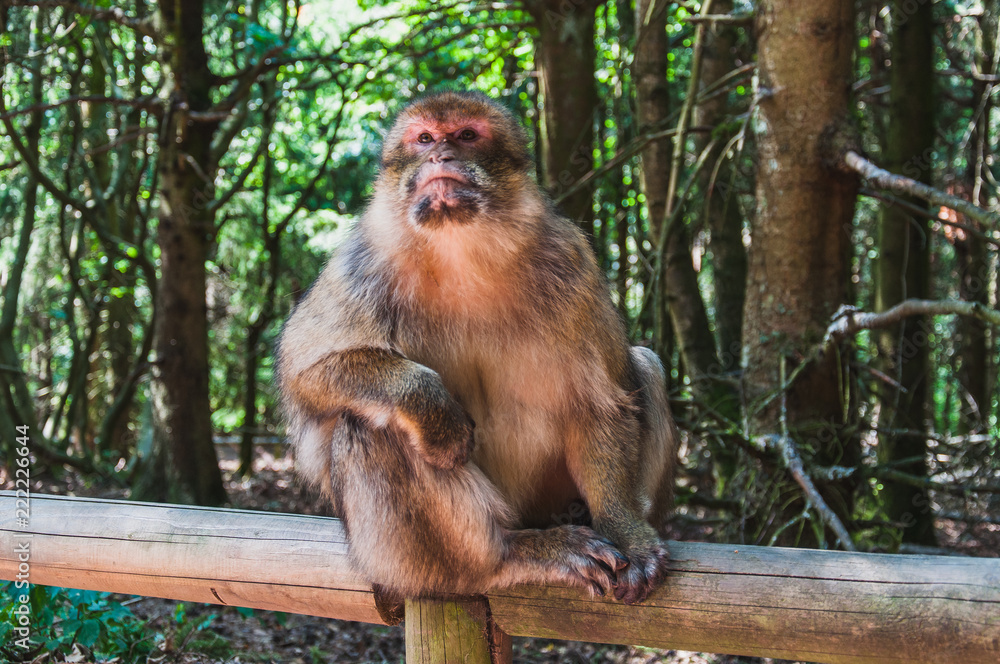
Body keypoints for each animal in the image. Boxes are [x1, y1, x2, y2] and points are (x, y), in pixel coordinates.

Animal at [277, 91, 677, 620]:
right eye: (424, 138)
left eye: (467, 135)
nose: (440, 157)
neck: (460, 249)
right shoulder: (359, 262)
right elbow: (304, 369)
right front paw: (432, 407)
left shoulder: (573, 262)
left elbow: (599, 402)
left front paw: (626, 529)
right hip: (395, 557)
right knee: (368, 424)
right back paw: (508, 555)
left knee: (645, 365)